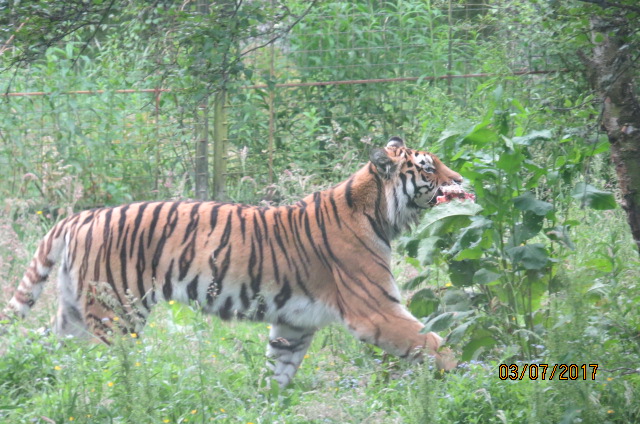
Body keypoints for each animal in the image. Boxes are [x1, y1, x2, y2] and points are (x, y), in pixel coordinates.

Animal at [3, 137, 465, 387]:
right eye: (428, 168)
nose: (461, 181)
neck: (379, 212)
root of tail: (80, 216)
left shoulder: (294, 323)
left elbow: (278, 371)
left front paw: (267, 403)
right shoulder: (376, 311)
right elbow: (434, 343)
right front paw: (466, 376)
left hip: (75, 314)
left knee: (58, 357)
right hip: (115, 316)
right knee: (104, 370)